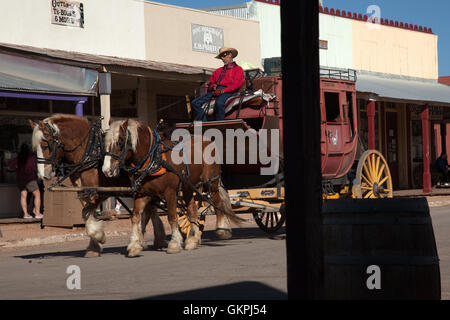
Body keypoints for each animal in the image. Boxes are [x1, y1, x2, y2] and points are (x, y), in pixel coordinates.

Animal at [30, 115, 167, 258]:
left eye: (46, 146)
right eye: (34, 149)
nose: (42, 175)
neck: (89, 152)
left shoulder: (100, 192)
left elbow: (88, 214)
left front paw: (99, 237)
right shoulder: (83, 192)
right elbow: (87, 215)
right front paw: (94, 246)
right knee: (150, 210)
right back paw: (155, 240)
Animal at [103, 119, 243, 256]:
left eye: (120, 142)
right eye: (105, 143)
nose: (106, 170)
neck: (154, 160)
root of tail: (207, 140)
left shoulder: (170, 192)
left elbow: (171, 216)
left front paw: (174, 244)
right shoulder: (142, 193)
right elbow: (136, 217)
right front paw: (135, 245)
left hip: (211, 181)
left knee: (217, 202)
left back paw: (222, 229)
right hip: (188, 186)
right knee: (192, 209)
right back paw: (193, 240)